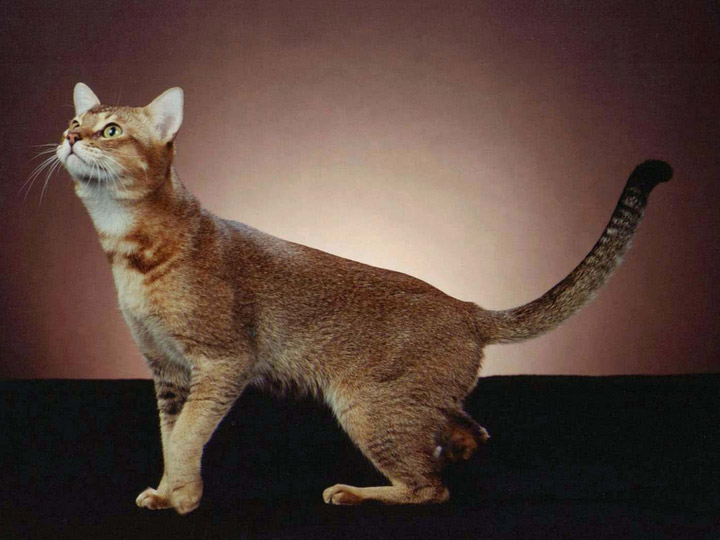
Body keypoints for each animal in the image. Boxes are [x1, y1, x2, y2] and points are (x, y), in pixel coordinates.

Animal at [55, 82, 672, 514]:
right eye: (73, 121)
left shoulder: (223, 362)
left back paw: (357, 491)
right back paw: (454, 446)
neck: (130, 248)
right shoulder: (167, 373)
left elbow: (186, 435)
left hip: (366, 405)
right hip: (405, 402)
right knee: (467, 431)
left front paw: (181, 498)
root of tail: (467, 308)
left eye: (110, 131)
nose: (70, 138)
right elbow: (169, 436)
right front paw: (168, 490)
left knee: (430, 488)